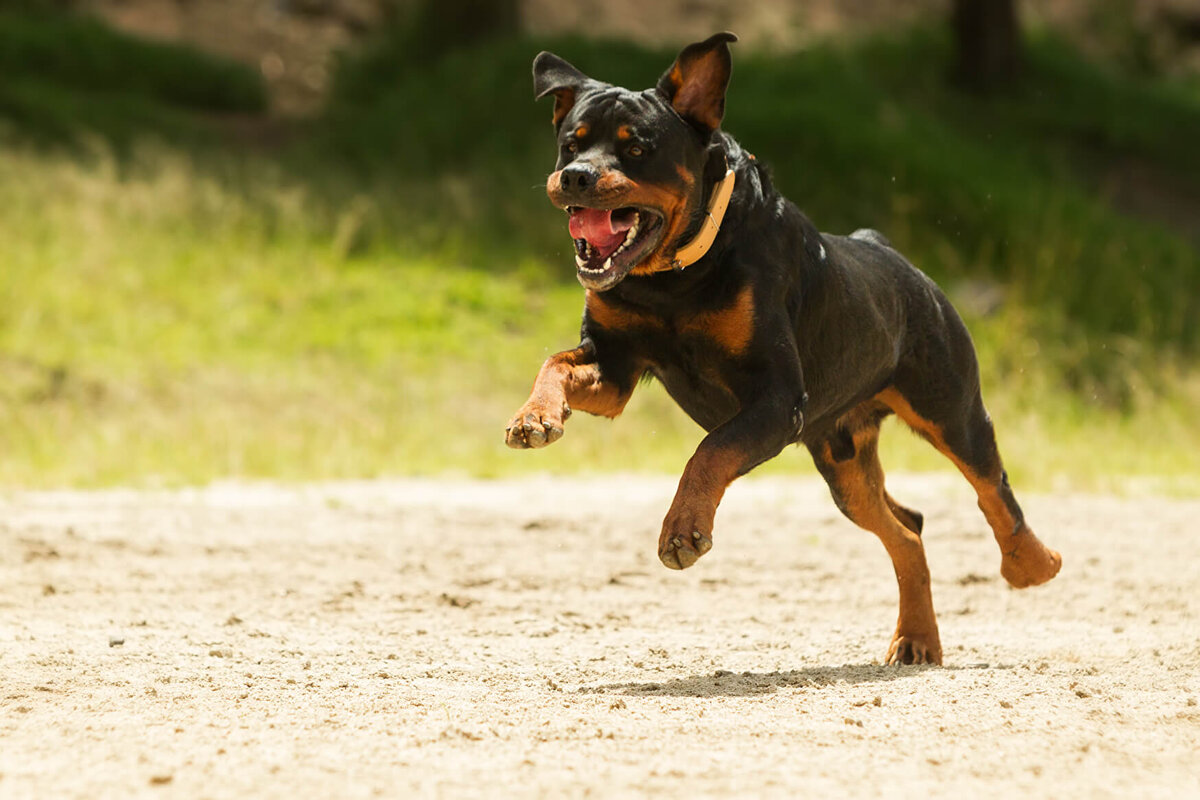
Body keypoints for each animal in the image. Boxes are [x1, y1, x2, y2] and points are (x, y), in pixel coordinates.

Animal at [504, 34, 1060, 666]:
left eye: (636, 148)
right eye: (569, 144)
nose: (575, 177)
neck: (675, 277)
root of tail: (893, 254)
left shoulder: (776, 396)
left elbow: (711, 450)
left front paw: (683, 528)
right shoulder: (615, 365)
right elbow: (556, 364)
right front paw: (535, 417)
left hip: (950, 407)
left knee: (994, 490)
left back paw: (1031, 565)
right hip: (843, 463)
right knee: (907, 529)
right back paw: (917, 638)